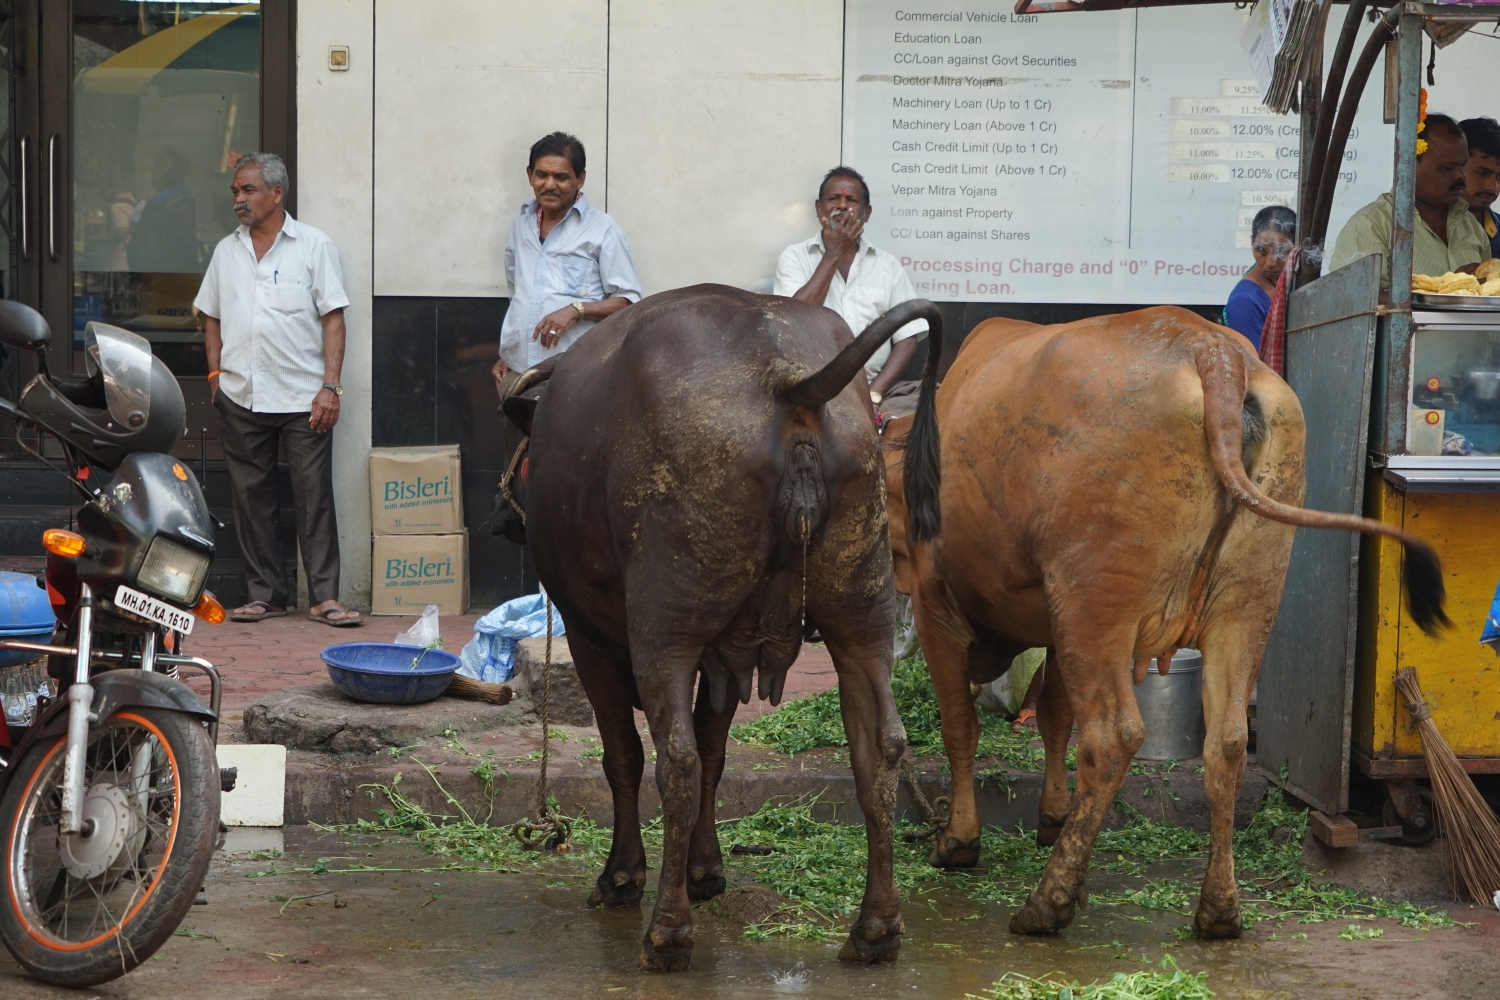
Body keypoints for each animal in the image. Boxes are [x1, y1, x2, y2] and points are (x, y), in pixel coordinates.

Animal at [516, 281, 936, 971]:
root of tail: (789, 382)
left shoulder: (589, 636)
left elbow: (628, 756)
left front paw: (625, 875)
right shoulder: (724, 656)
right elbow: (717, 753)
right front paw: (706, 870)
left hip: (665, 632)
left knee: (675, 760)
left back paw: (667, 932)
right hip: (863, 612)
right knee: (881, 748)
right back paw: (876, 929)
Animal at [882, 308, 1446, 941]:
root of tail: (1211, 347)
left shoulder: (939, 607)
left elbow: (962, 727)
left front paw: (958, 841)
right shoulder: (1053, 623)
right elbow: (1052, 717)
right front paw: (1053, 818)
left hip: (1095, 600)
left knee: (1110, 736)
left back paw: (1049, 902)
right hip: (1242, 601)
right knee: (1225, 743)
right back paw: (1218, 909)